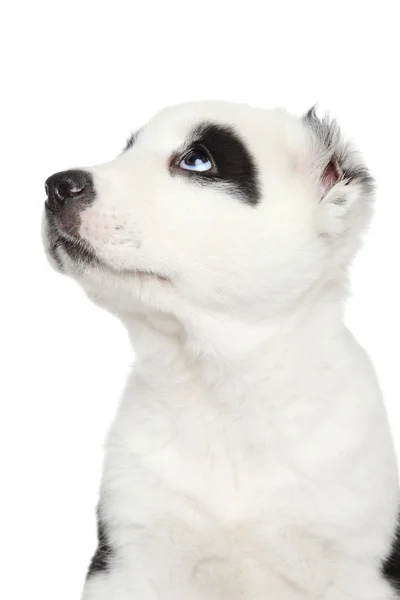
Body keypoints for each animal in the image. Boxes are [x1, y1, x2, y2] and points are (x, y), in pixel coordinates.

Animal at [43, 101, 400, 596]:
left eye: (197, 161)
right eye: (127, 150)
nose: (57, 186)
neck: (220, 388)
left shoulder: (360, 566)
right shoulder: (125, 561)